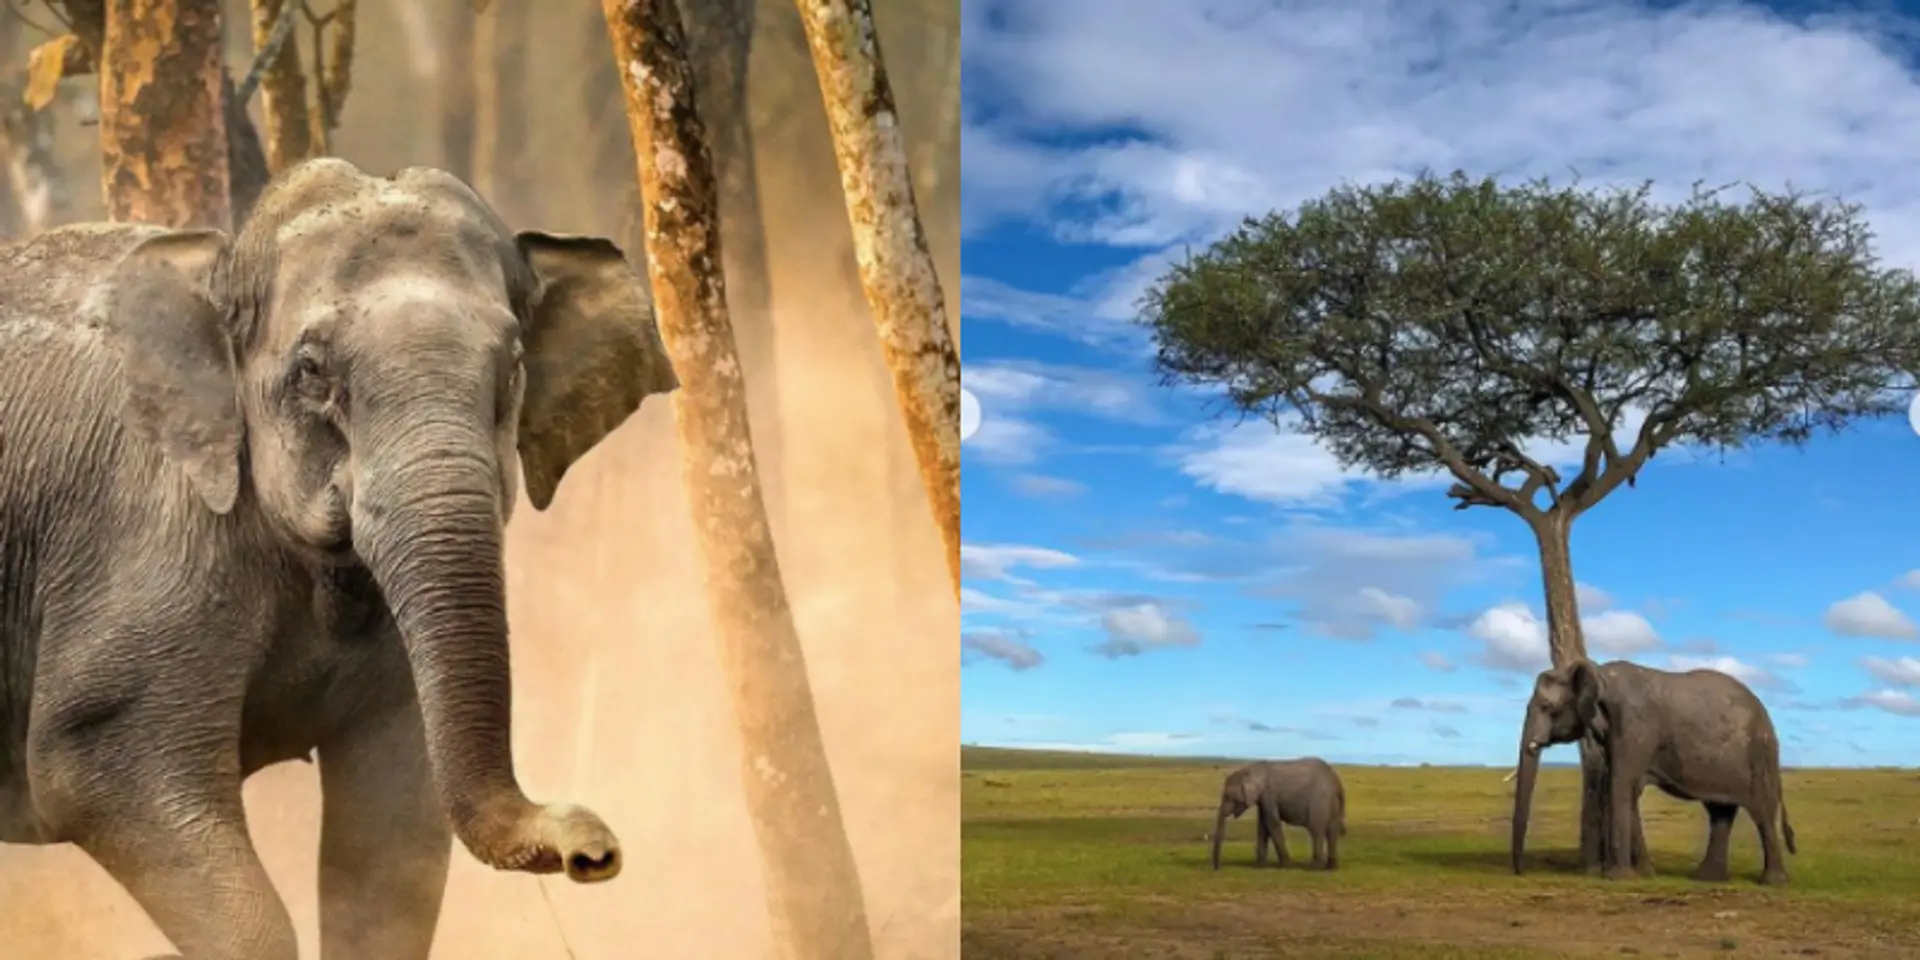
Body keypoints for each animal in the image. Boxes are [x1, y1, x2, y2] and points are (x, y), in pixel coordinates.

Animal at [0, 158, 678, 959]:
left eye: (514, 364)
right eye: (312, 372)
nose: (594, 850)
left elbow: (393, 832)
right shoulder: (145, 539)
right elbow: (94, 768)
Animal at [1210, 758, 1347, 871]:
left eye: (1228, 795)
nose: (1218, 868)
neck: (1251, 769)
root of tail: (1336, 781)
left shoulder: (1269, 795)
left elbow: (1271, 822)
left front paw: (1286, 865)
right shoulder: (1263, 799)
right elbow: (1262, 825)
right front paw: (1260, 865)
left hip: (1319, 801)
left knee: (1316, 830)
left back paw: (1314, 867)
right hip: (1332, 802)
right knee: (1332, 831)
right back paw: (1331, 868)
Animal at [1511, 659, 1797, 885]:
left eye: (1547, 707)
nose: (1521, 872)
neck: (1600, 673)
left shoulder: (1633, 726)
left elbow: (1620, 786)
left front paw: (1618, 878)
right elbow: (1628, 790)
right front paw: (1646, 874)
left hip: (1760, 755)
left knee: (1761, 812)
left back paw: (1772, 882)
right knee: (1720, 812)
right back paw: (1706, 879)